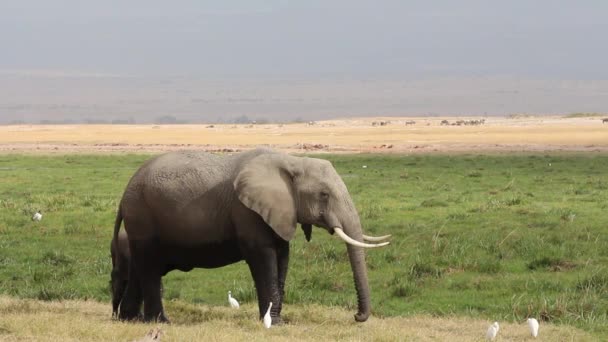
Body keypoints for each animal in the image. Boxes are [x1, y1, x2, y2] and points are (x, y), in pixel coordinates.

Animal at [113, 147, 390, 324]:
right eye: (324, 195)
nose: (357, 317)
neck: (291, 161)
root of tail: (125, 193)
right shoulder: (247, 211)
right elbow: (263, 257)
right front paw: (273, 323)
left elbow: (282, 256)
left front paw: (276, 321)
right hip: (142, 216)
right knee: (149, 268)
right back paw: (161, 322)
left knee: (141, 267)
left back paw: (132, 320)